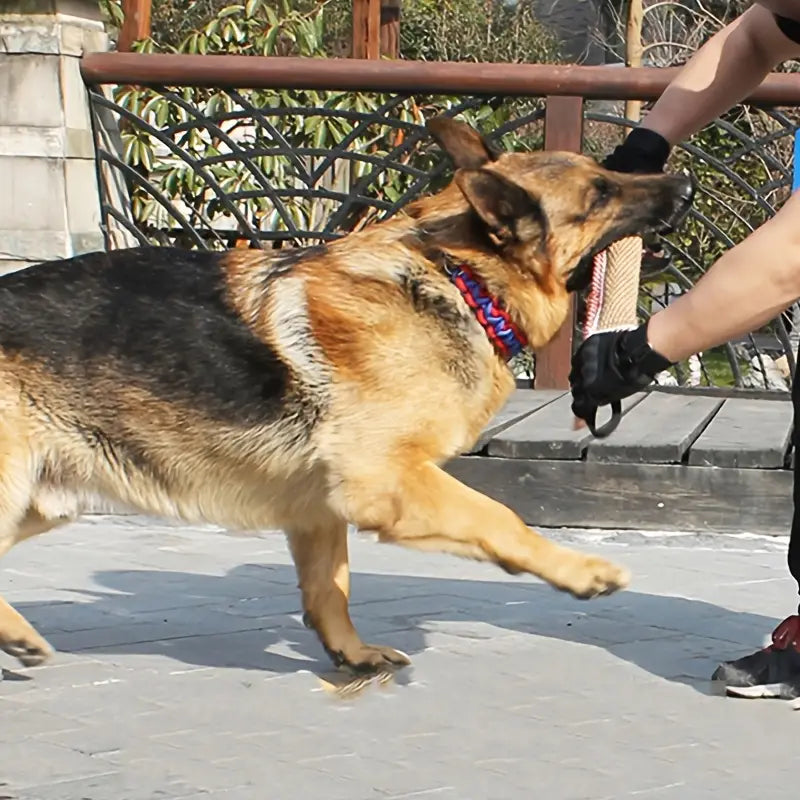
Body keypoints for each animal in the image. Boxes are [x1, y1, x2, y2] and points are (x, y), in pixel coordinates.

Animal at [0, 117, 688, 676]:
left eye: (609, 172)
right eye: (600, 193)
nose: (683, 186)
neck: (461, 279)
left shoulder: (320, 508)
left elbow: (330, 587)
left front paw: (351, 654)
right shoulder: (387, 478)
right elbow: (502, 518)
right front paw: (581, 573)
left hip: (45, 502)